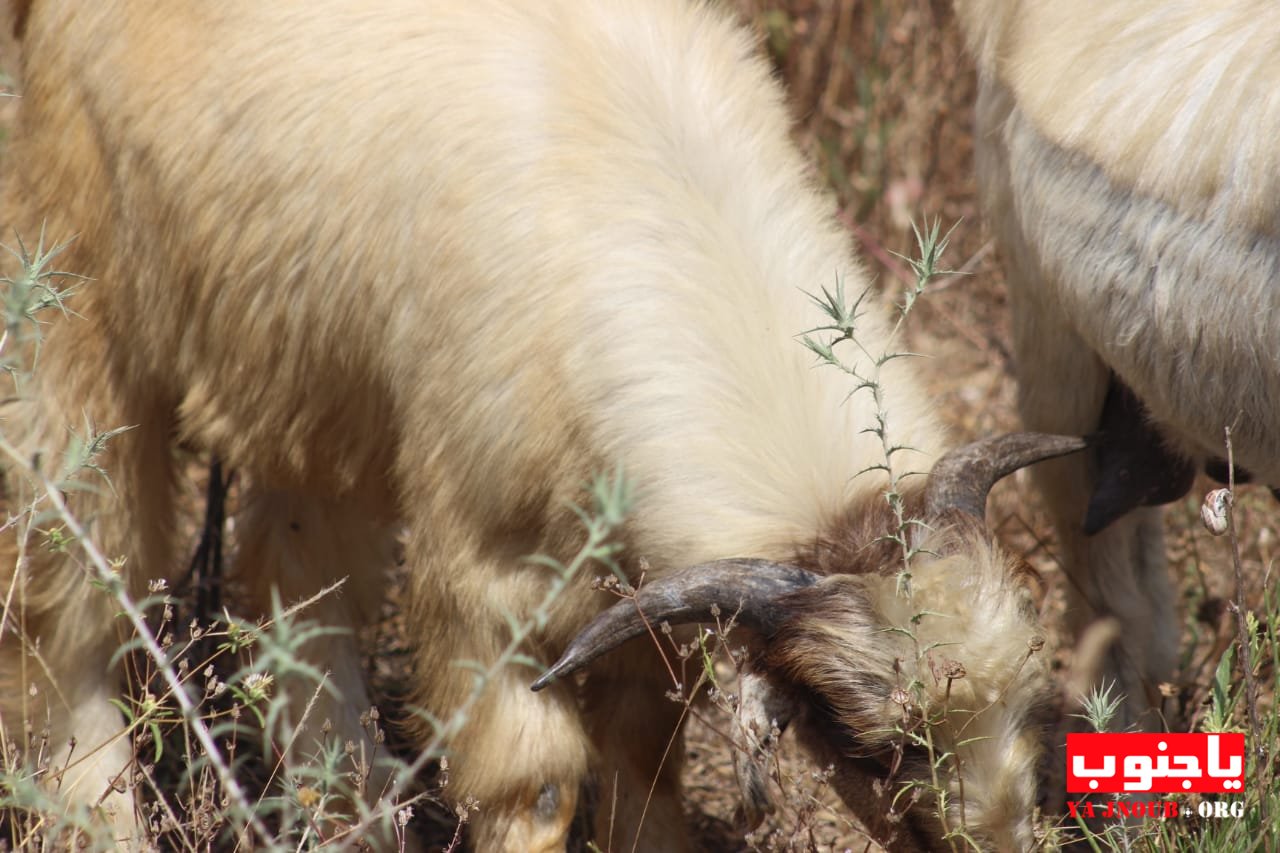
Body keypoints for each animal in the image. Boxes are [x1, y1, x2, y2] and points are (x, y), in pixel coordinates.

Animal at [0, 0, 1085, 845]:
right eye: (873, 744)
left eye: (1034, 701)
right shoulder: (491, 581)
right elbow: (536, 788)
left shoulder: (629, 578)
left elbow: (644, 747)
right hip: (78, 303)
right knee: (71, 594)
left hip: (322, 381)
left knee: (291, 580)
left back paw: (349, 813)